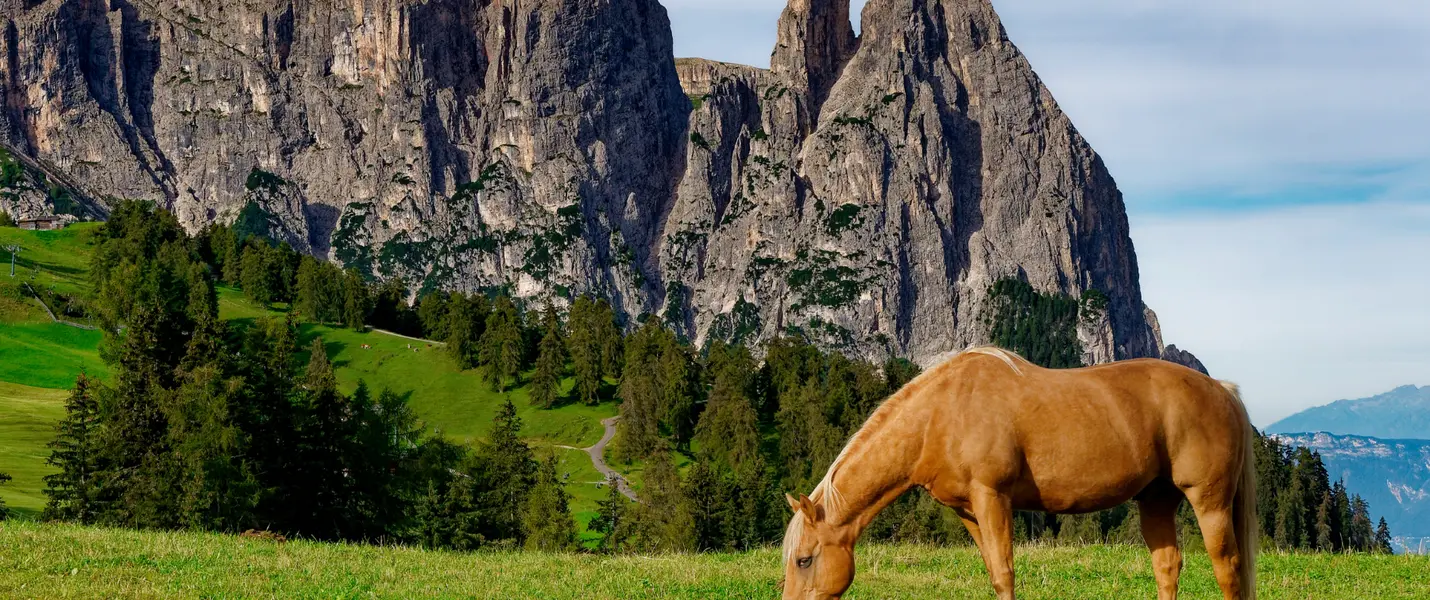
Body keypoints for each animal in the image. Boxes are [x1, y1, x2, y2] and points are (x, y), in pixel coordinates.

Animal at [777, 348, 1258, 597]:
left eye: (804, 559)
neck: (941, 415)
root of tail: (1222, 390)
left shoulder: (993, 497)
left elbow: (1005, 573)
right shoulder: (969, 512)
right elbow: (995, 573)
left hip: (1209, 501)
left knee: (1227, 568)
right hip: (1156, 500)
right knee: (1168, 567)